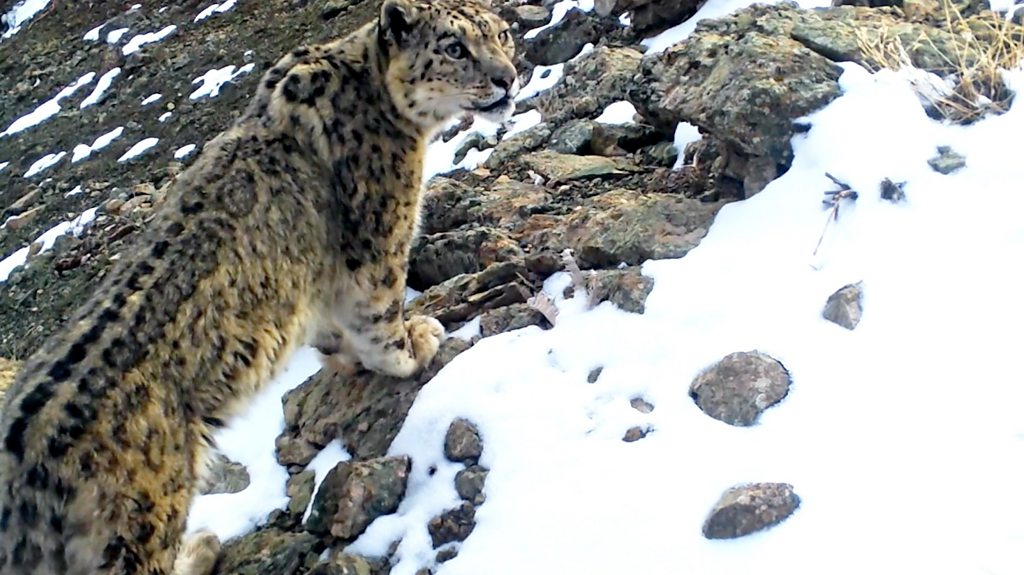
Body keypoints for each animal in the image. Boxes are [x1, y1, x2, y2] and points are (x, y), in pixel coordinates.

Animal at [0, 0, 517, 573]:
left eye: (502, 34)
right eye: (454, 47)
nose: (508, 77)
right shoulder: (378, 240)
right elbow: (379, 317)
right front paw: (414, 346)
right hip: (137, 527)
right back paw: (201, 549)